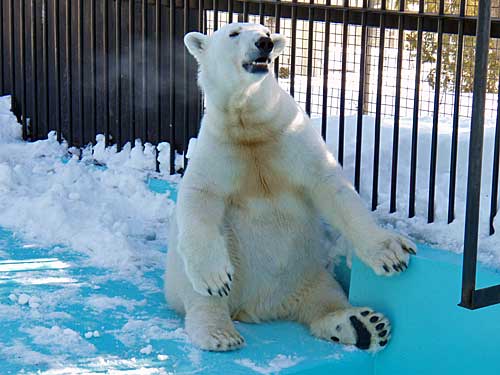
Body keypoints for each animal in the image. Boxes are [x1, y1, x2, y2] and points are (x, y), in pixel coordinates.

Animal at [165, 22, 418, 352]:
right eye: (234, 33)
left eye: (266, 30)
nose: (265, 43)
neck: (249, 123)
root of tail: (259, 307)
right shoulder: (219, 149)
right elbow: (200, 198)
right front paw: (215, 278)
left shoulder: (288, 135)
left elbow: (330, 185)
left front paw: (390, 253)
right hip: (198, 273)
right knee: (200, 295)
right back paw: (219, 333)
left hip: (309, 273)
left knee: (325, 298)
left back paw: (363, 325)